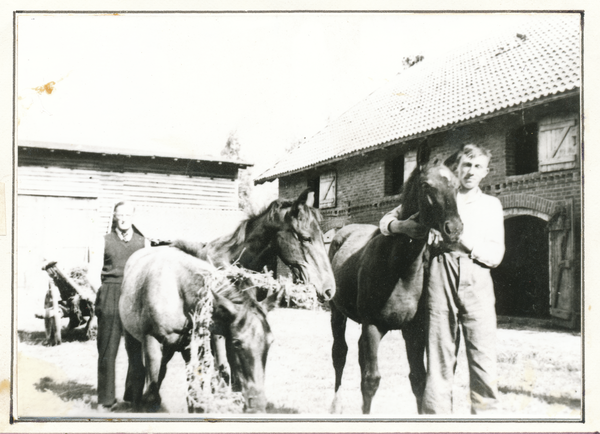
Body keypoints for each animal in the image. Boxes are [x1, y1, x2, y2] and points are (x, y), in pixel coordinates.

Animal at [328, 145, 464, 414]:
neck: (399, 268)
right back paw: (336, 404)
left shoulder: (413, 330)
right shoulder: (372, 326)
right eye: (426, 185)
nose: (454, 229)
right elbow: (371, 380)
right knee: (340, 353)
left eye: (456, 186)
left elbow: (418, 379)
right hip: (336, 311)